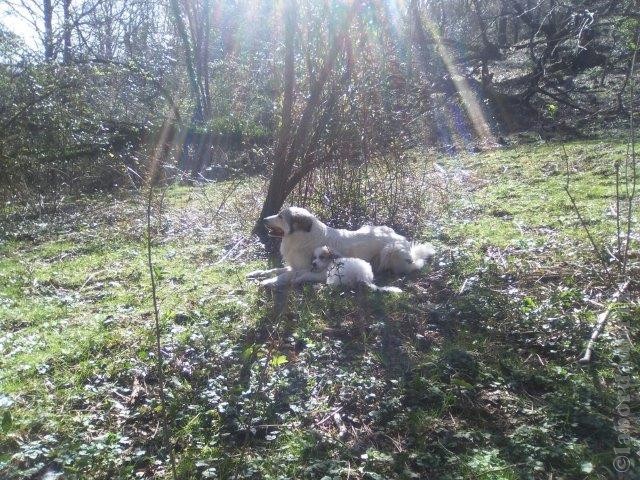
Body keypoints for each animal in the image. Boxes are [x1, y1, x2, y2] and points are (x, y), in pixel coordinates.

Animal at [246, 205, 436, 286]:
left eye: (280, 216)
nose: (264, 219)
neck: (302, 236)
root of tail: (404, 242)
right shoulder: (294, 266)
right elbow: (274, 269)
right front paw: (256, 274)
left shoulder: (304, 268)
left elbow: (284, 275)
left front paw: (268, 282)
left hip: (391, 250)